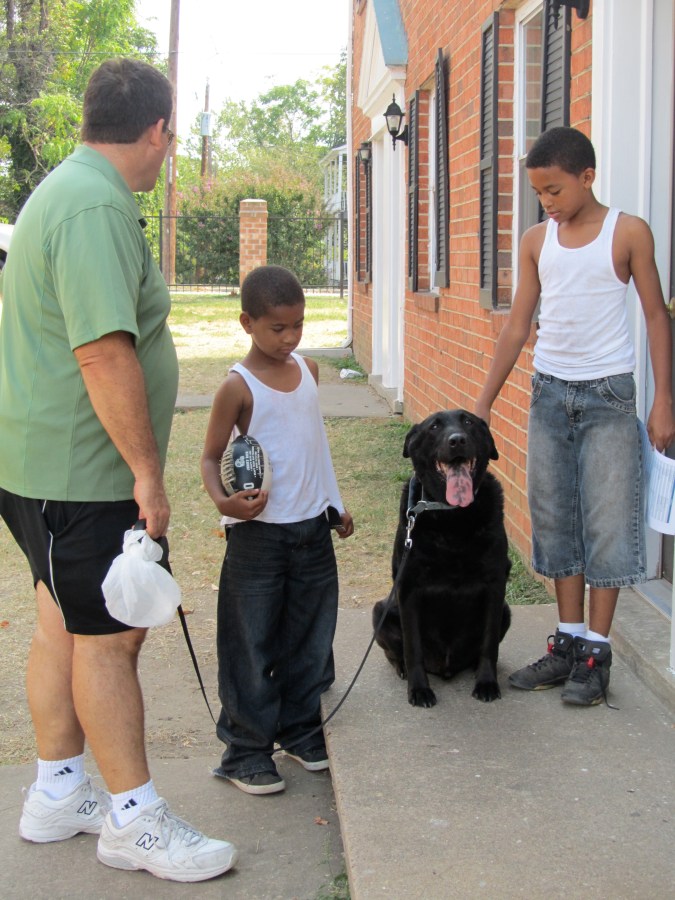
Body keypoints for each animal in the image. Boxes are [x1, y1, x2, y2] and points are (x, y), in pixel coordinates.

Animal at [372, 410, 511, 707]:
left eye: (468, 422)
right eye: (434, 426)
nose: (457, 440)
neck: (452, 516)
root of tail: (444, 666)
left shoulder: (495, 585)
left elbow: (489, 643)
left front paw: (487, 682)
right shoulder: (408, 587)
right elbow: (412, 646)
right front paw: (418, 689)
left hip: (506, 611)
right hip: (380, 612)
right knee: (396, 652)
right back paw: (402, 668)